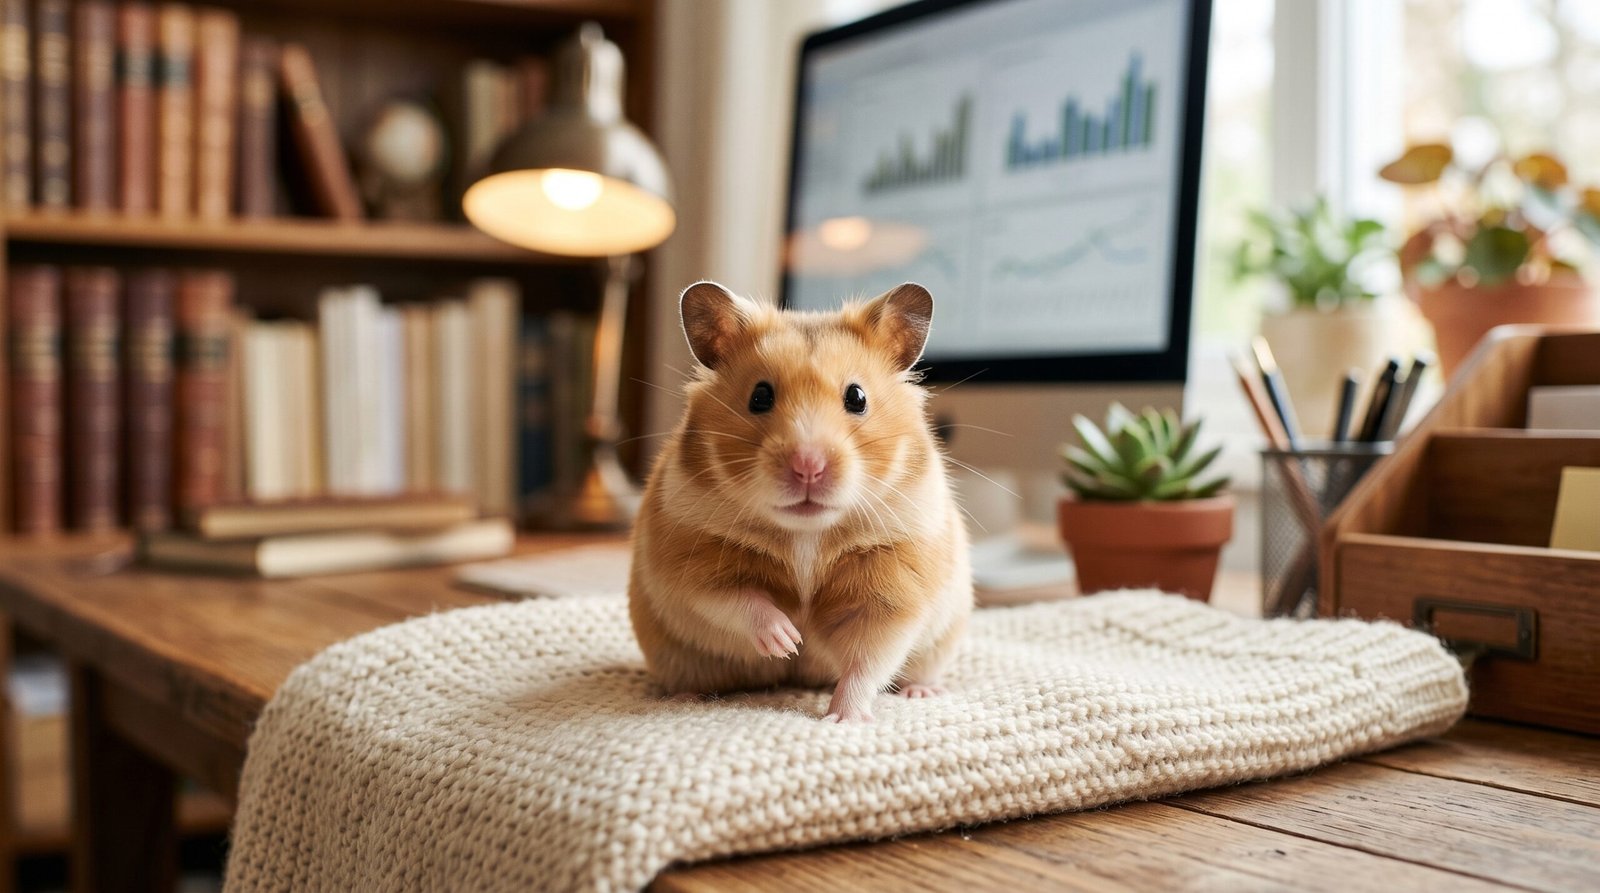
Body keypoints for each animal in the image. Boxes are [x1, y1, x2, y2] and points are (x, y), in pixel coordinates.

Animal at [628, 280, 972, 723]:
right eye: (759, 396)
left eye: (857, 397)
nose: (808, 466)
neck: (808, 533)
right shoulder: (690, 564)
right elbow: (736, 601)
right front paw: (788, 640)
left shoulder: (895, 588)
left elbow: (868, 661)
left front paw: (843, 718)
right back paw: (685, 697)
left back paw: (922, 692)